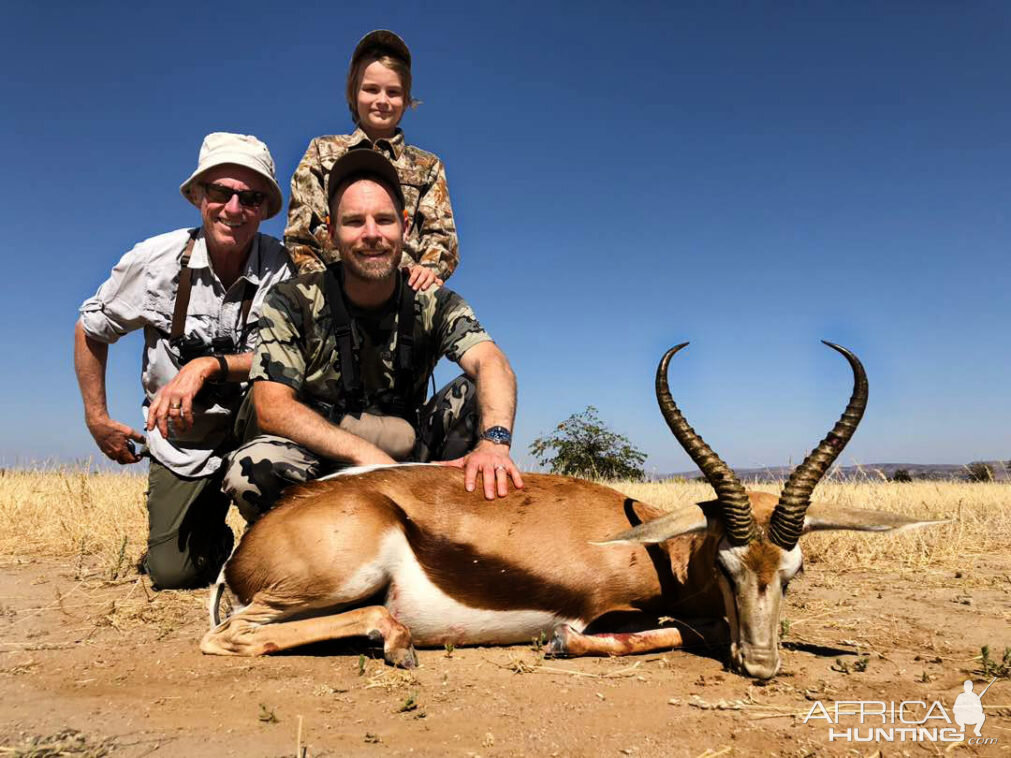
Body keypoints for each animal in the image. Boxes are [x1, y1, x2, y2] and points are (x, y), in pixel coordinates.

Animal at [201, 341, 942, 679]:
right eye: (725, 564)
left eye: (793, 571)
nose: (760, 665)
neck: (654, 550)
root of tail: (249, 546)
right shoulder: (605, 609)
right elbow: (682, 629)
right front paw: (559, 643)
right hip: (328, 583)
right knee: (229, 637)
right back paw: (396, 641)